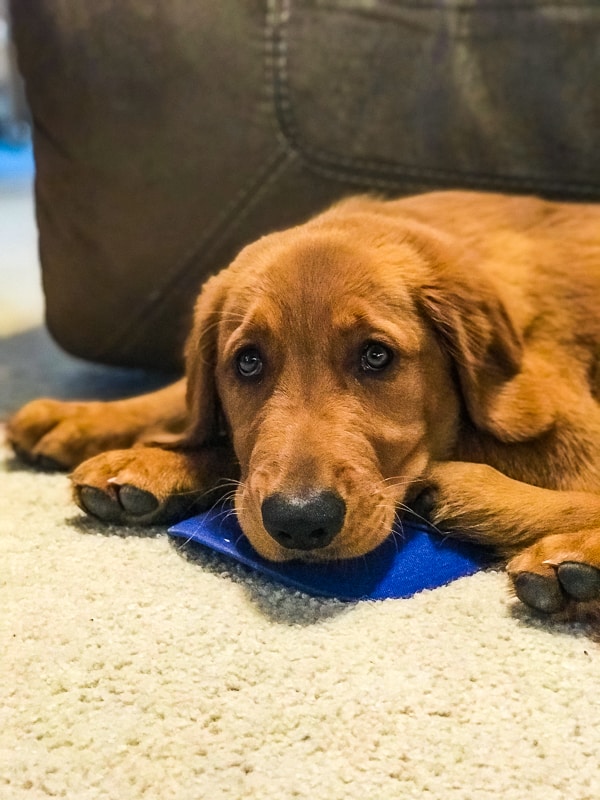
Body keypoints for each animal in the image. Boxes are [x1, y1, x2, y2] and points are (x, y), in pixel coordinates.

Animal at [8, 192, 600, 620]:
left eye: (376, 356)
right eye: (247, 363)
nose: (299, 522)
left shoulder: (558, 432)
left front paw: (155, 462)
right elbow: (193, 408)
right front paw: (97, 427)